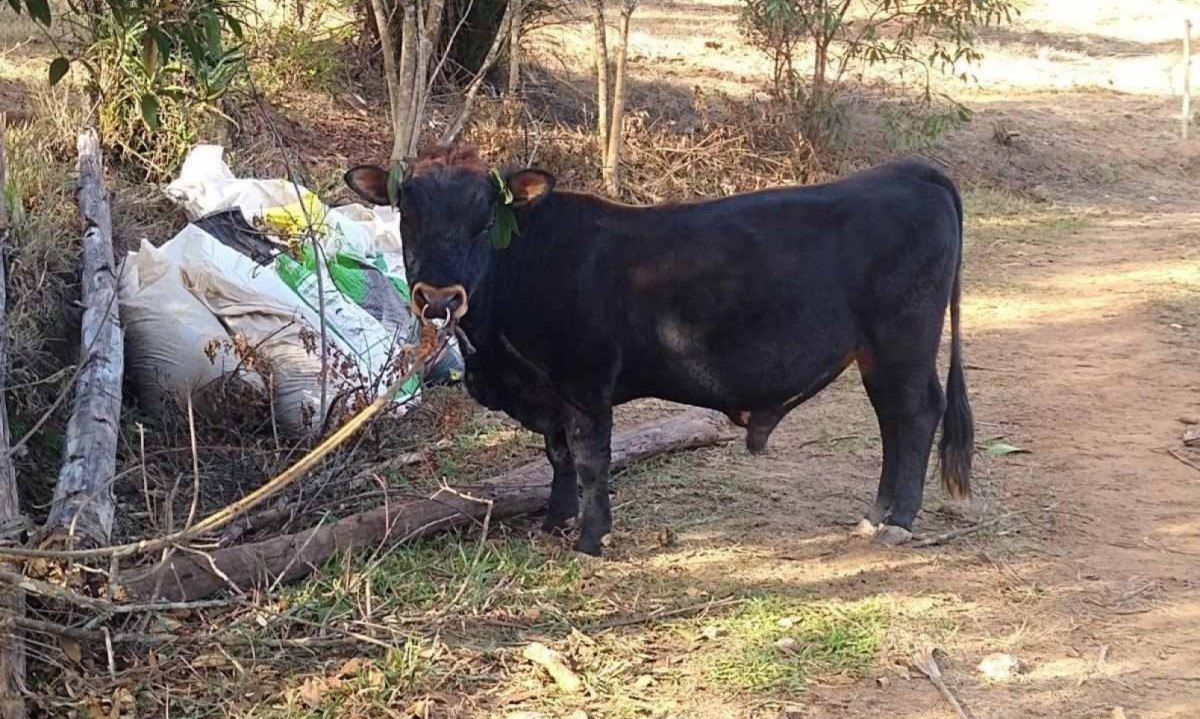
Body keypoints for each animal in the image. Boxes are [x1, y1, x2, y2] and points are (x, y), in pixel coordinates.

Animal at [348, 147, 974, 556]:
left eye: (484, 222)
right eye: (408, 214)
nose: (439, 297)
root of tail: (911, 172)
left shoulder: (586, 380)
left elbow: (590, 456)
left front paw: (591, 538)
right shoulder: (549, 390)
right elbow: (558, 455)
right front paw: (556, 521)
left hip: (900, 342)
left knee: (912, 415)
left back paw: (894, 520)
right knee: (903, 418)